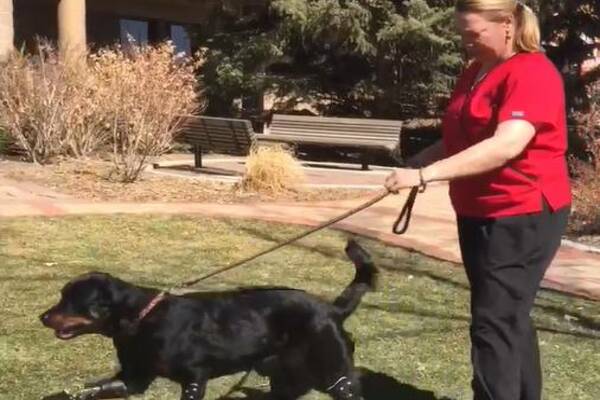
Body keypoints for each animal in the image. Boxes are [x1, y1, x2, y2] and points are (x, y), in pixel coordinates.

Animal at [41, 239, 376, 398]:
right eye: (61, 295)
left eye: (71, 301)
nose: (43, 317)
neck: (140, 319)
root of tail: (333, 309)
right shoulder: (133, 379)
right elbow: (93, 390)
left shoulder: (193, 379)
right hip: (286, 379)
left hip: (335, 375)